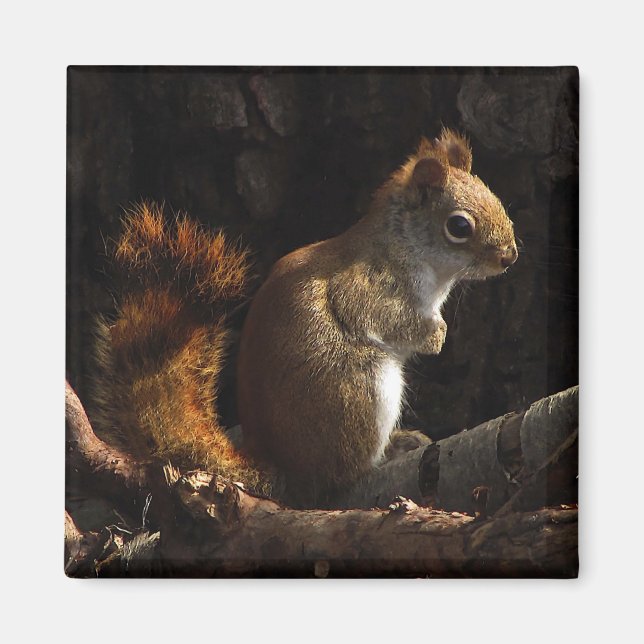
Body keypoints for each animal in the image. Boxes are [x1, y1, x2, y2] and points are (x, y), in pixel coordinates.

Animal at [90, 128, 517, 508]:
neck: (408, 248)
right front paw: (435, 335)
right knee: (342, 474)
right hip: (360, 392)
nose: (510, 256)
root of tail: (288, 472)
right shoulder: (366, 287)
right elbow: (385, 319)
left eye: (496, 197)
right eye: (459, 226)